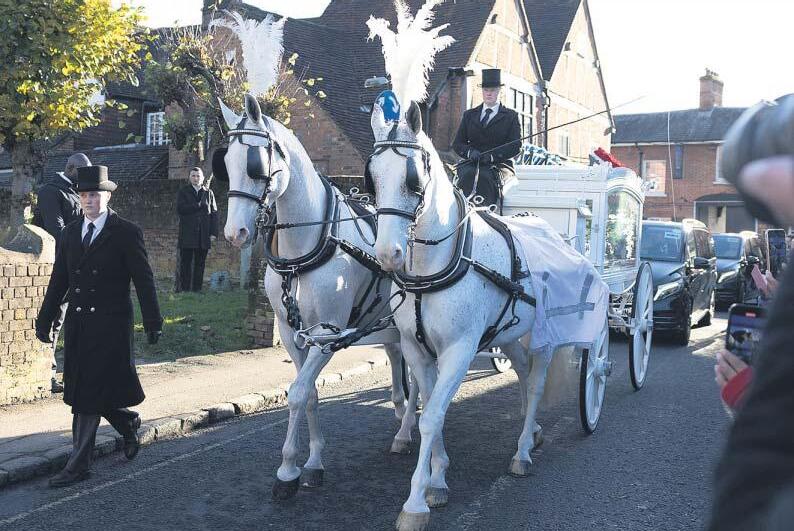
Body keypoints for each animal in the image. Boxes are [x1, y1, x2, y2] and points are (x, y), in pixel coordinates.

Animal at [219, 93, 418, 500]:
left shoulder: (327, 333)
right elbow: (308, 393)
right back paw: (399, 412)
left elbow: (296, 393)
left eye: (256, 166)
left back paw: (408, 429)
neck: (307, 246)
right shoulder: (292, 333)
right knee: (396, 357)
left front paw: (286, 472)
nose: (235, 233)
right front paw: (311, 463)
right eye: (225, 164)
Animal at [366, 102, 550, 531]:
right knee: (521, 370)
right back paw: (530, 429)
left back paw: (522, 452)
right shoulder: (417, 351)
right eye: (372, 177)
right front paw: (438, 478)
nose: (388, 254)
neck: (433, 265)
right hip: (509, 333)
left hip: (549, 334)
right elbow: (431, 407)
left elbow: (432, 416)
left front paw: (416, 502)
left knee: (536, 383)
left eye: (413, 178)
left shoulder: (459, 350)